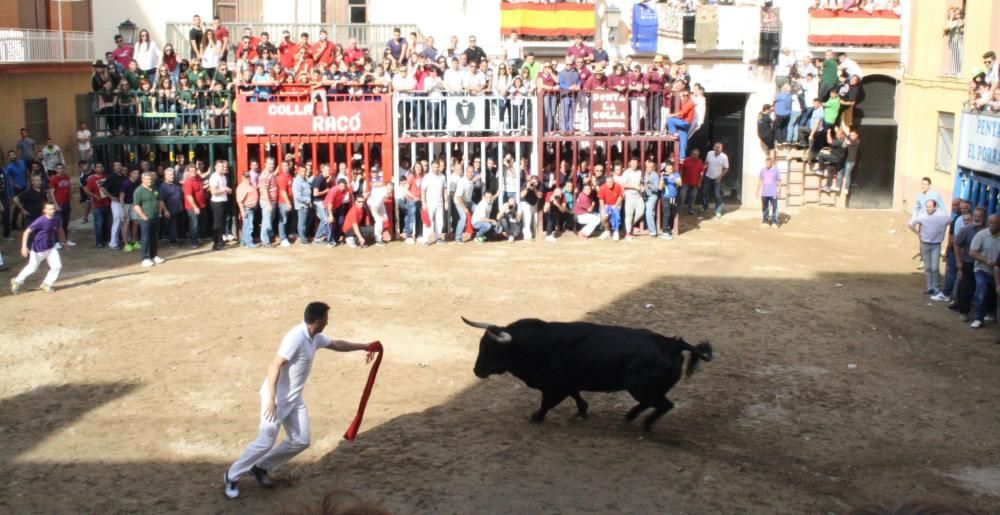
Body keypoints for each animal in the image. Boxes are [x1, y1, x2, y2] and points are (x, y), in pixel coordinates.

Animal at [460, 318, 712, 432]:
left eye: (490, 349)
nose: (476, 371)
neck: (534, 346)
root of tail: (671, 344)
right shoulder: (568, 383)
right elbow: (576, 395)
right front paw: (583, 411)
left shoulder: (555, 386)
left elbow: (547, 403)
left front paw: (536, 417)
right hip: (644, 389)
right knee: (652, 404)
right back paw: (630, 416)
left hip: (641, 387)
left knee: (664, 405)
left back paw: (646, 425)